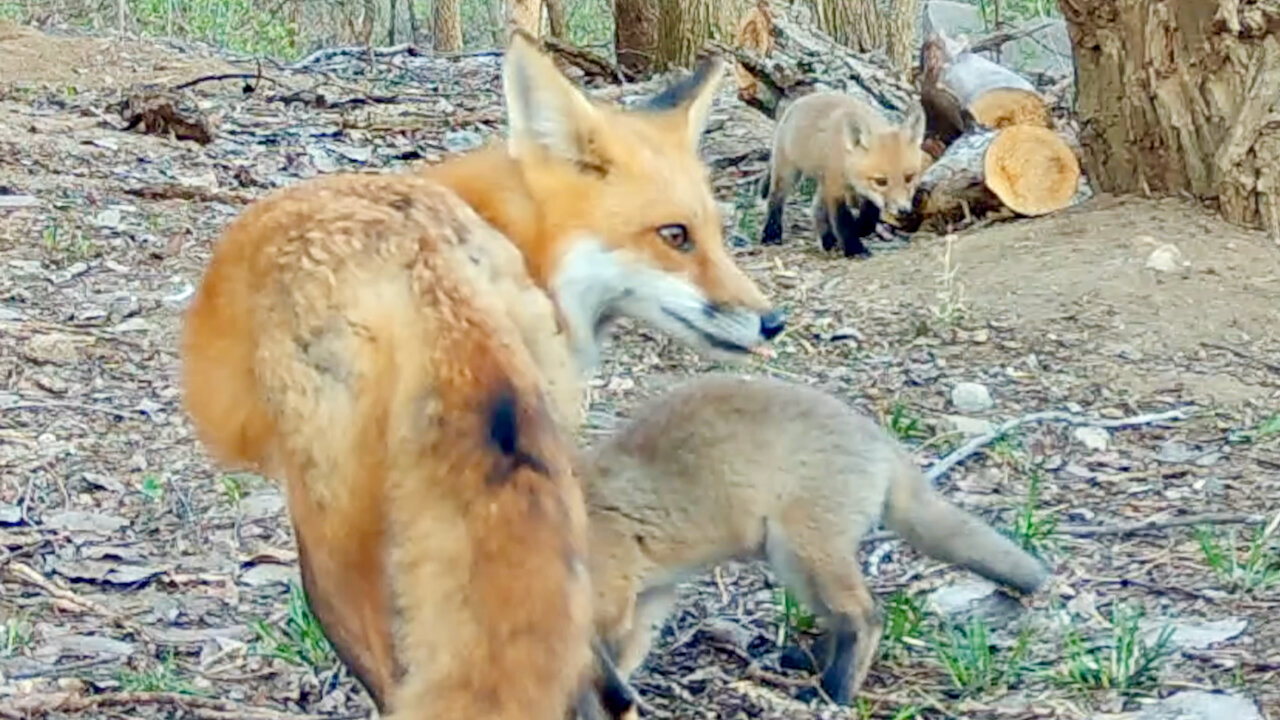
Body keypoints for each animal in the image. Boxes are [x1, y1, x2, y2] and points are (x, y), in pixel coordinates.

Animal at [179, 30, 778, 717]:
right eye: (676, 236)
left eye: (717, 236)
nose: (774, 322)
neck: (514, 229)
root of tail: (422, 258)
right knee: (592, 672)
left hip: (331, 530)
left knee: (391, 673)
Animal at [578, 376, 1049, 707]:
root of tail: (880, 439)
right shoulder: (651, 594)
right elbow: (624, 657)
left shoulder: (615, 592)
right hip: (795, 565)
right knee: (843, 619)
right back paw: (811, 662)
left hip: (804, 553)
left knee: (867, 615)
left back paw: (833, 693)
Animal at [757, 90, 931, 257]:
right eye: (881, 181)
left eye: (909, 178)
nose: (903, 210)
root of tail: (798, 101)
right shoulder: (835, 188)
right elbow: (843, 221)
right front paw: (854, 249)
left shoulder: (857, 191)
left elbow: (869, 215)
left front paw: (861, 229)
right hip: (789, 172)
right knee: (776, 200)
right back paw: (771, 234)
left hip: (822, 183)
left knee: (816, 208)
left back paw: (828, 240)